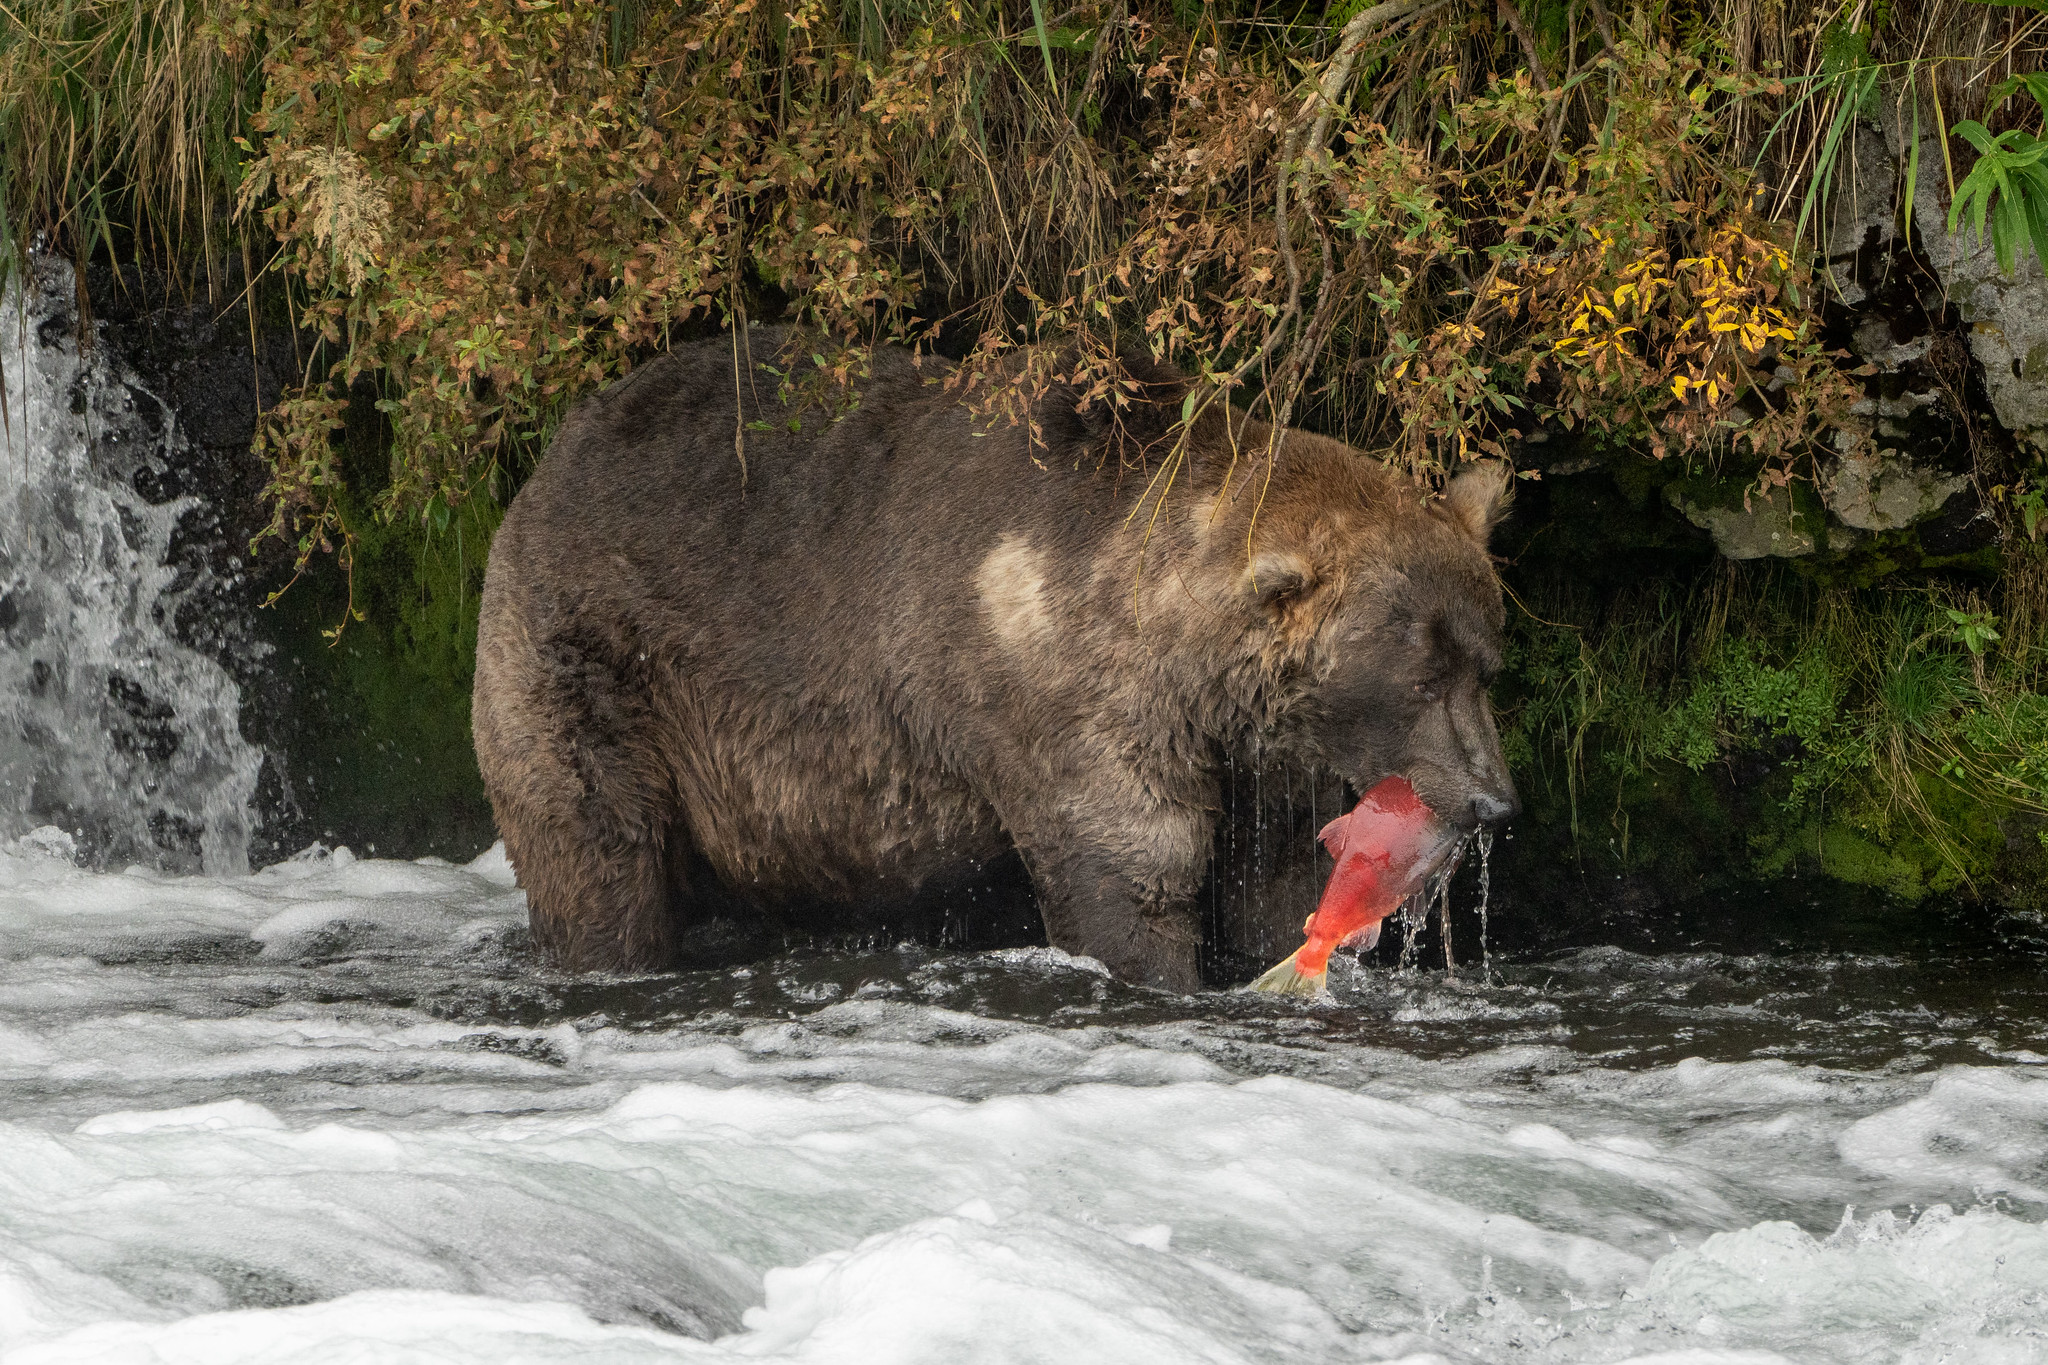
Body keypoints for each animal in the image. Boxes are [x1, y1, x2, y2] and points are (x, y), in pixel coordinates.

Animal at [471, 330, 1519, 989]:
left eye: (1484, 661)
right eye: (1421, 673)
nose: (1493, 799)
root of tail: (550, 456)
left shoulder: (1257, 746)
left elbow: (1272, 879)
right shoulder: (1066, 696)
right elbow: (1134, 872)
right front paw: (1163, 968)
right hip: (596, 659)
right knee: (598, 850)